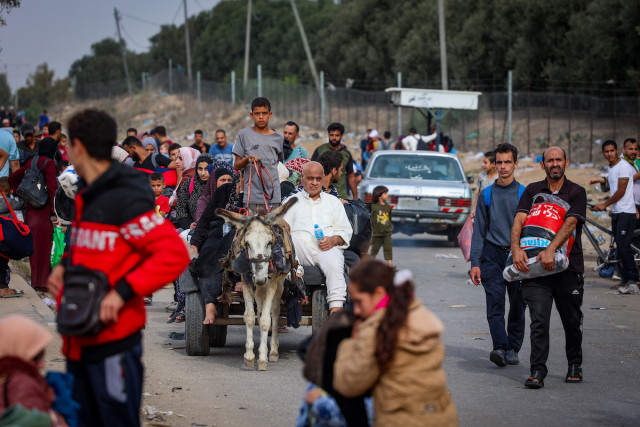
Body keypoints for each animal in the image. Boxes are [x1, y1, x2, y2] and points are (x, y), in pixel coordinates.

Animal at [216, 198, 298, 371]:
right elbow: (250, 317)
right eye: (247, 243)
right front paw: (249, 356)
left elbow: (267, 320)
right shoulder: (247, 281)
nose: (260, 278)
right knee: (259, 310)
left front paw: (262, 359)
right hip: (259, 288)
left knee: (274, 312)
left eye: (269, 242)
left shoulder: (272, 282)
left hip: (279, 284)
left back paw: (273, 351)